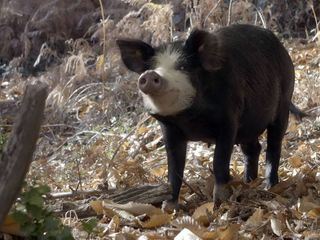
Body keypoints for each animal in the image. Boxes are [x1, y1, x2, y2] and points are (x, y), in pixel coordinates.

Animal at [117, 24, 304, 208]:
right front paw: (169, 208)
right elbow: (174, 170)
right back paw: (248, 183)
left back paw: (269, 187)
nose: (150, 75)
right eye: (151, 67)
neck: (189, 119)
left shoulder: (229, 120)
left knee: (273, 146)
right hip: (249, 125)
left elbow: (219, 161)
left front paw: (219, 204)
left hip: (284, 102)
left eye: (183, 67)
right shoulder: (170, 129)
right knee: (253, 149)